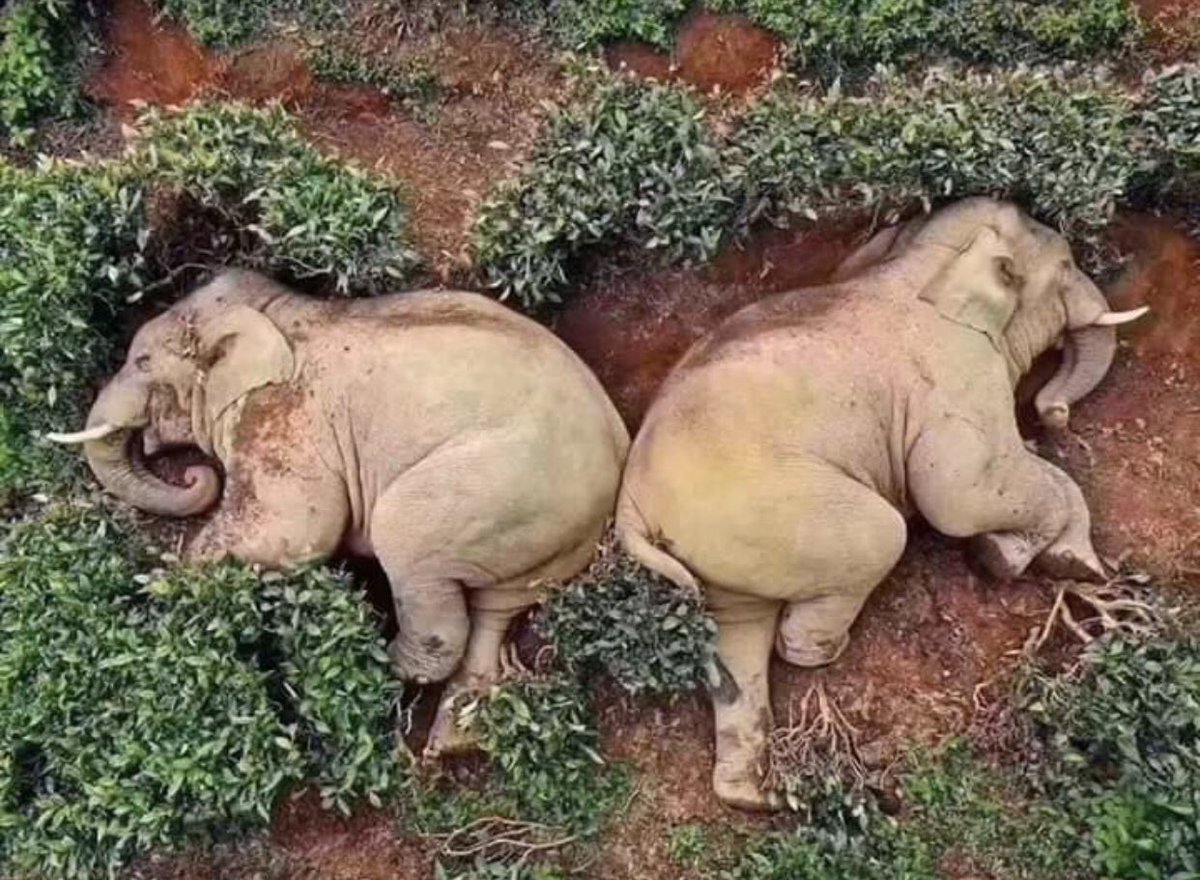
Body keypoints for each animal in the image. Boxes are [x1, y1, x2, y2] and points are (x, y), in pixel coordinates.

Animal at [49, 268, 630, 754]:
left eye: (142, 362)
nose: (196, 476)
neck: (278, 311)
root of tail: (617, 455)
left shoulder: (284, 417)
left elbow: (294, 532)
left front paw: (163, 585)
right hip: (545, 535)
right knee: (497, 607)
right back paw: (453, 741)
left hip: (498, 488)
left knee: (408, 543)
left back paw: (376, 664)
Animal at [614, 198, 1149, 809]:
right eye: (1063, 267)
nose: (1052, 412)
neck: (918, 263)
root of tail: (630, 508)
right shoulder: (957, 377)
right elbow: (959, 495)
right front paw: (1014, 559)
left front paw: (1063, 560)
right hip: (769, 509)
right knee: (879, 537)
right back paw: (822, 654)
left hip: (718, 547)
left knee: (738, 633)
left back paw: (754, 796)